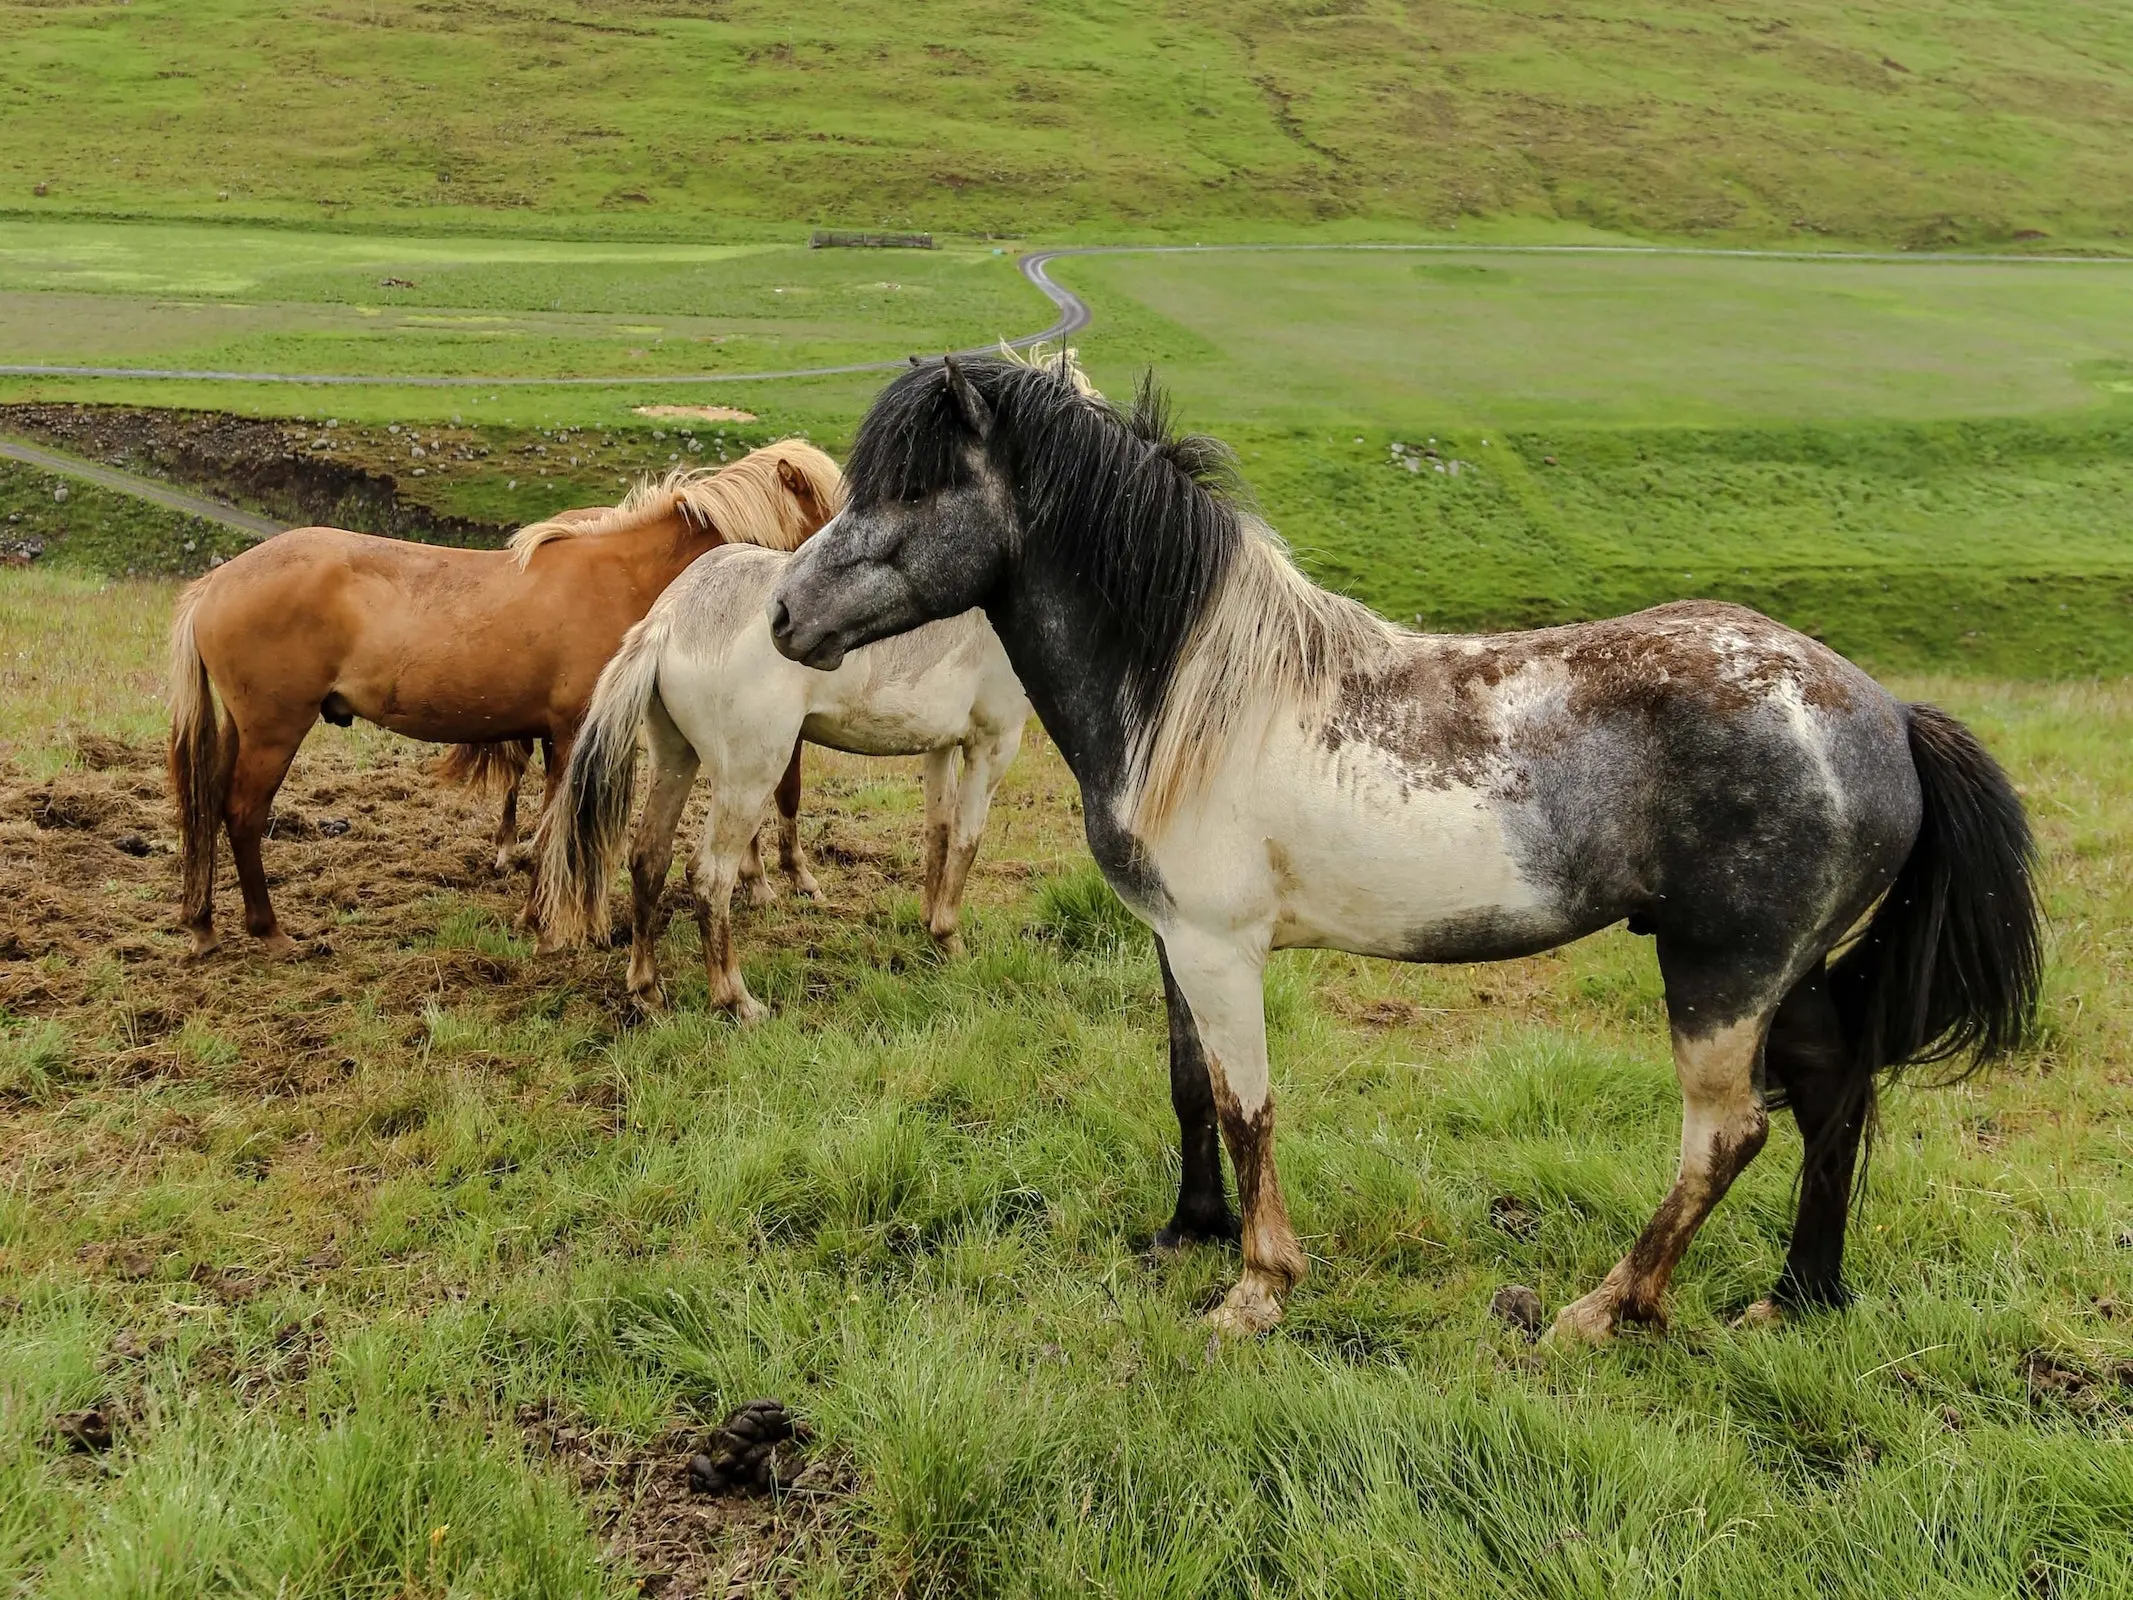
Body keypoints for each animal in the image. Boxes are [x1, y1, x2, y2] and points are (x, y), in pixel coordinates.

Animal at [162, 445, 844, 960]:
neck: (624, 578)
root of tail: (217, 582)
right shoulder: (572, 735)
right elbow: (556, 829)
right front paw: (549, 924)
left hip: (242, 730)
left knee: (210, 807)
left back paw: (204, 923)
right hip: (274, 729)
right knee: (242, 814)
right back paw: (269, 930)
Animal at [772, 356, 2047, 1348]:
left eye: (917, 484)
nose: (784, 615)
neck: (1196, 695)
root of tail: (1886, 713)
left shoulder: (1223, 947)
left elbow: (1247, 1104)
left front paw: (1255, 1288)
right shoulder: (1175, 940)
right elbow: (1191, 1089)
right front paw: (1187, 1231)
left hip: (1724, 976)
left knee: (1728, 1134)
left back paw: (1604, 1310)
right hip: (1790, 976)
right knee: (1835, 1098)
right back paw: (1798, 1295)